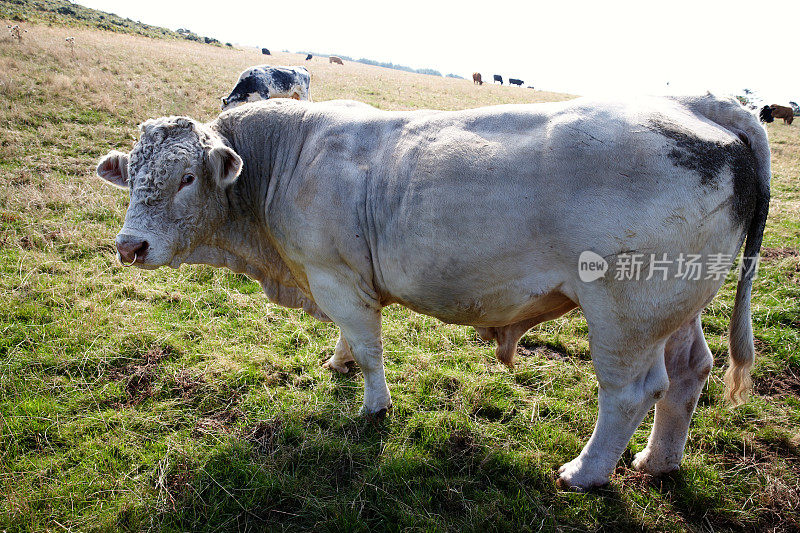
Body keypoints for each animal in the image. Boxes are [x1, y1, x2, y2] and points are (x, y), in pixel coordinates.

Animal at [97, 93, 772, 488]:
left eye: (187, 178)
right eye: (133, 173)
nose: (130, 246)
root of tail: (696, 105)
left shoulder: (337, 277)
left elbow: (370, 347)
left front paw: (373, 405)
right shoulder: (333, 281)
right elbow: (350, 341)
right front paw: (339, 362)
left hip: (624, 315)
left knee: (630, 392)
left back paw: (585, 471)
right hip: (673, 306)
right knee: (689, 372)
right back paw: (658, 461)